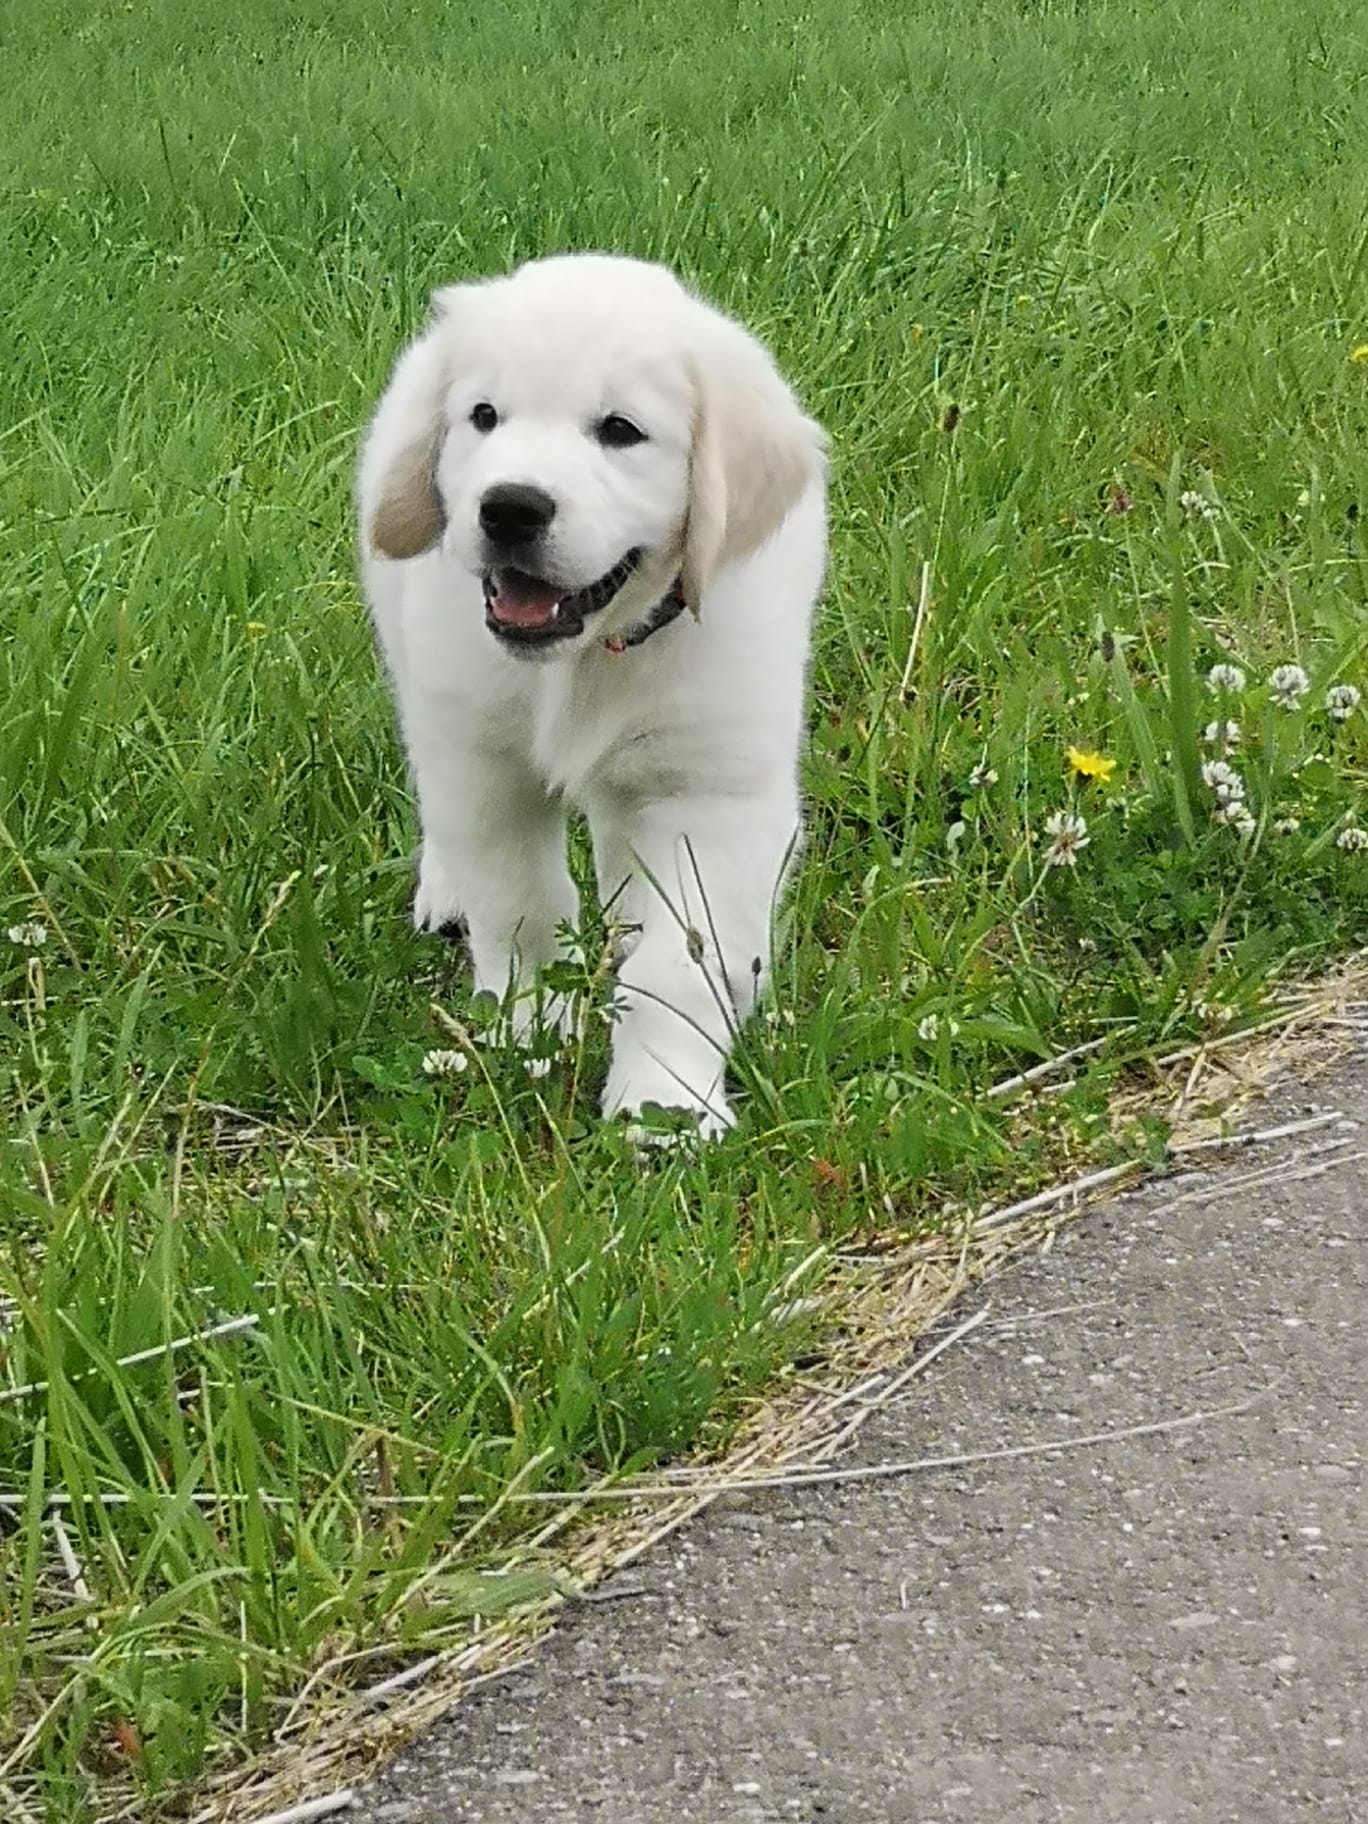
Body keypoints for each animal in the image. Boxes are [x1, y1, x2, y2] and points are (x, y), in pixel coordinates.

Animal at [359, 253, 824, 1138]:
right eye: (483, 416)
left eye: (620, 431)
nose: (509, 507)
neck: (589, 657)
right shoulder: (487, 769)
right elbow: (520, 904)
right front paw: (533, 1031)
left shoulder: (716, 794)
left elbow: (683, 964)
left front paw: (665, 1102)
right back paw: (445, 887)